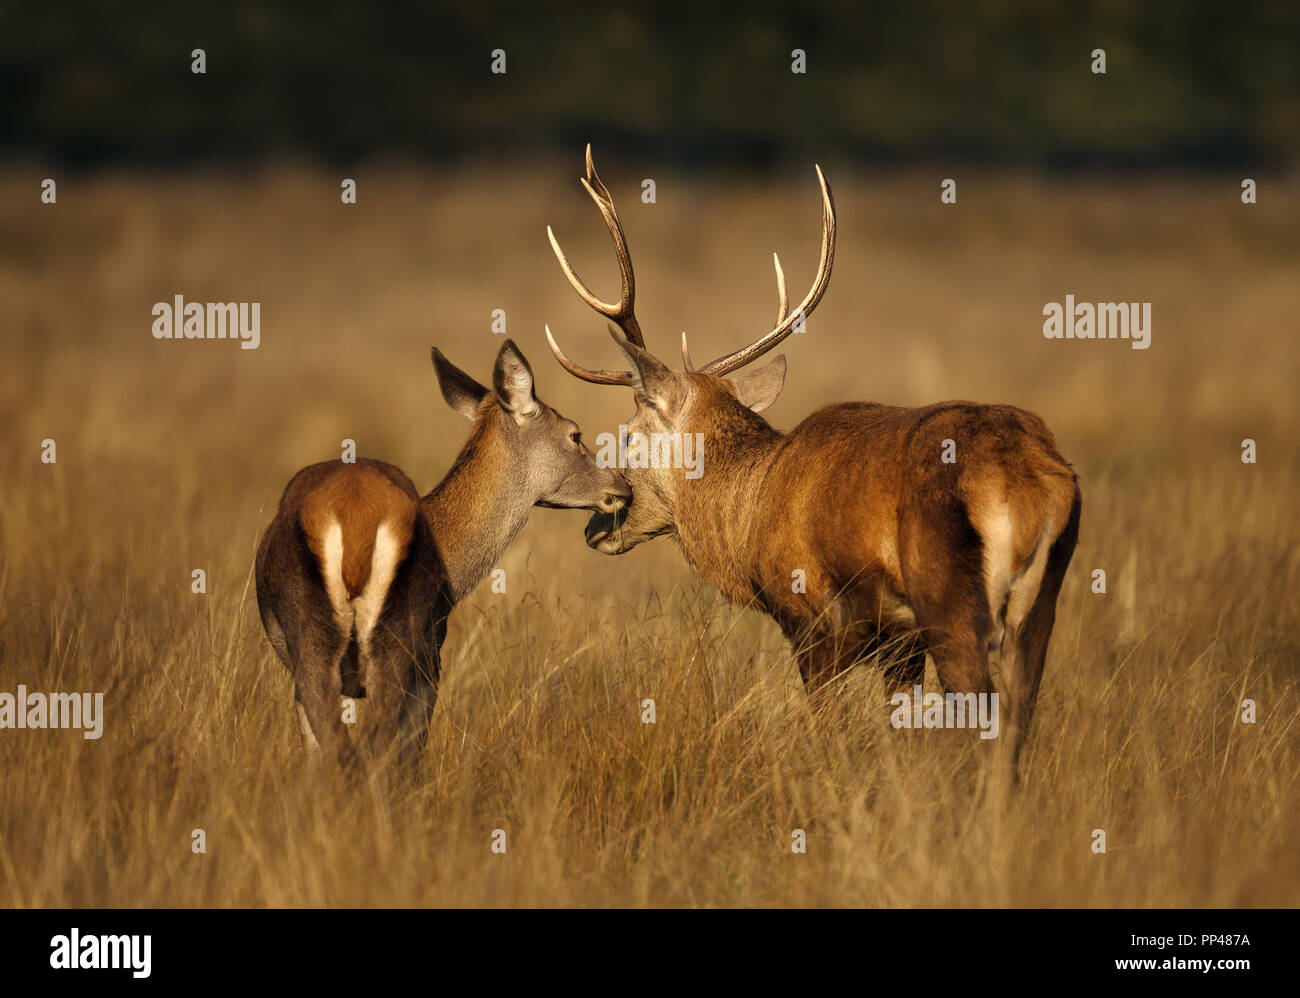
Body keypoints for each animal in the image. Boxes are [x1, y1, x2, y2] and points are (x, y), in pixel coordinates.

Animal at [255, 339, 631, 768]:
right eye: (574, 434)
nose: (621, 486)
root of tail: (353, 518)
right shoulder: (430, 660)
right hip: (394, 644)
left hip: (310, 650)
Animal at [544, 146, 1081, 761]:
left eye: (628, 434)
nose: (594, 527)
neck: (747, 512)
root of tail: (1031, 480)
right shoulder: (898, 644)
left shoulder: (811, 619)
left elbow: (829, 728)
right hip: (1039, 605)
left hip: (949, 600)